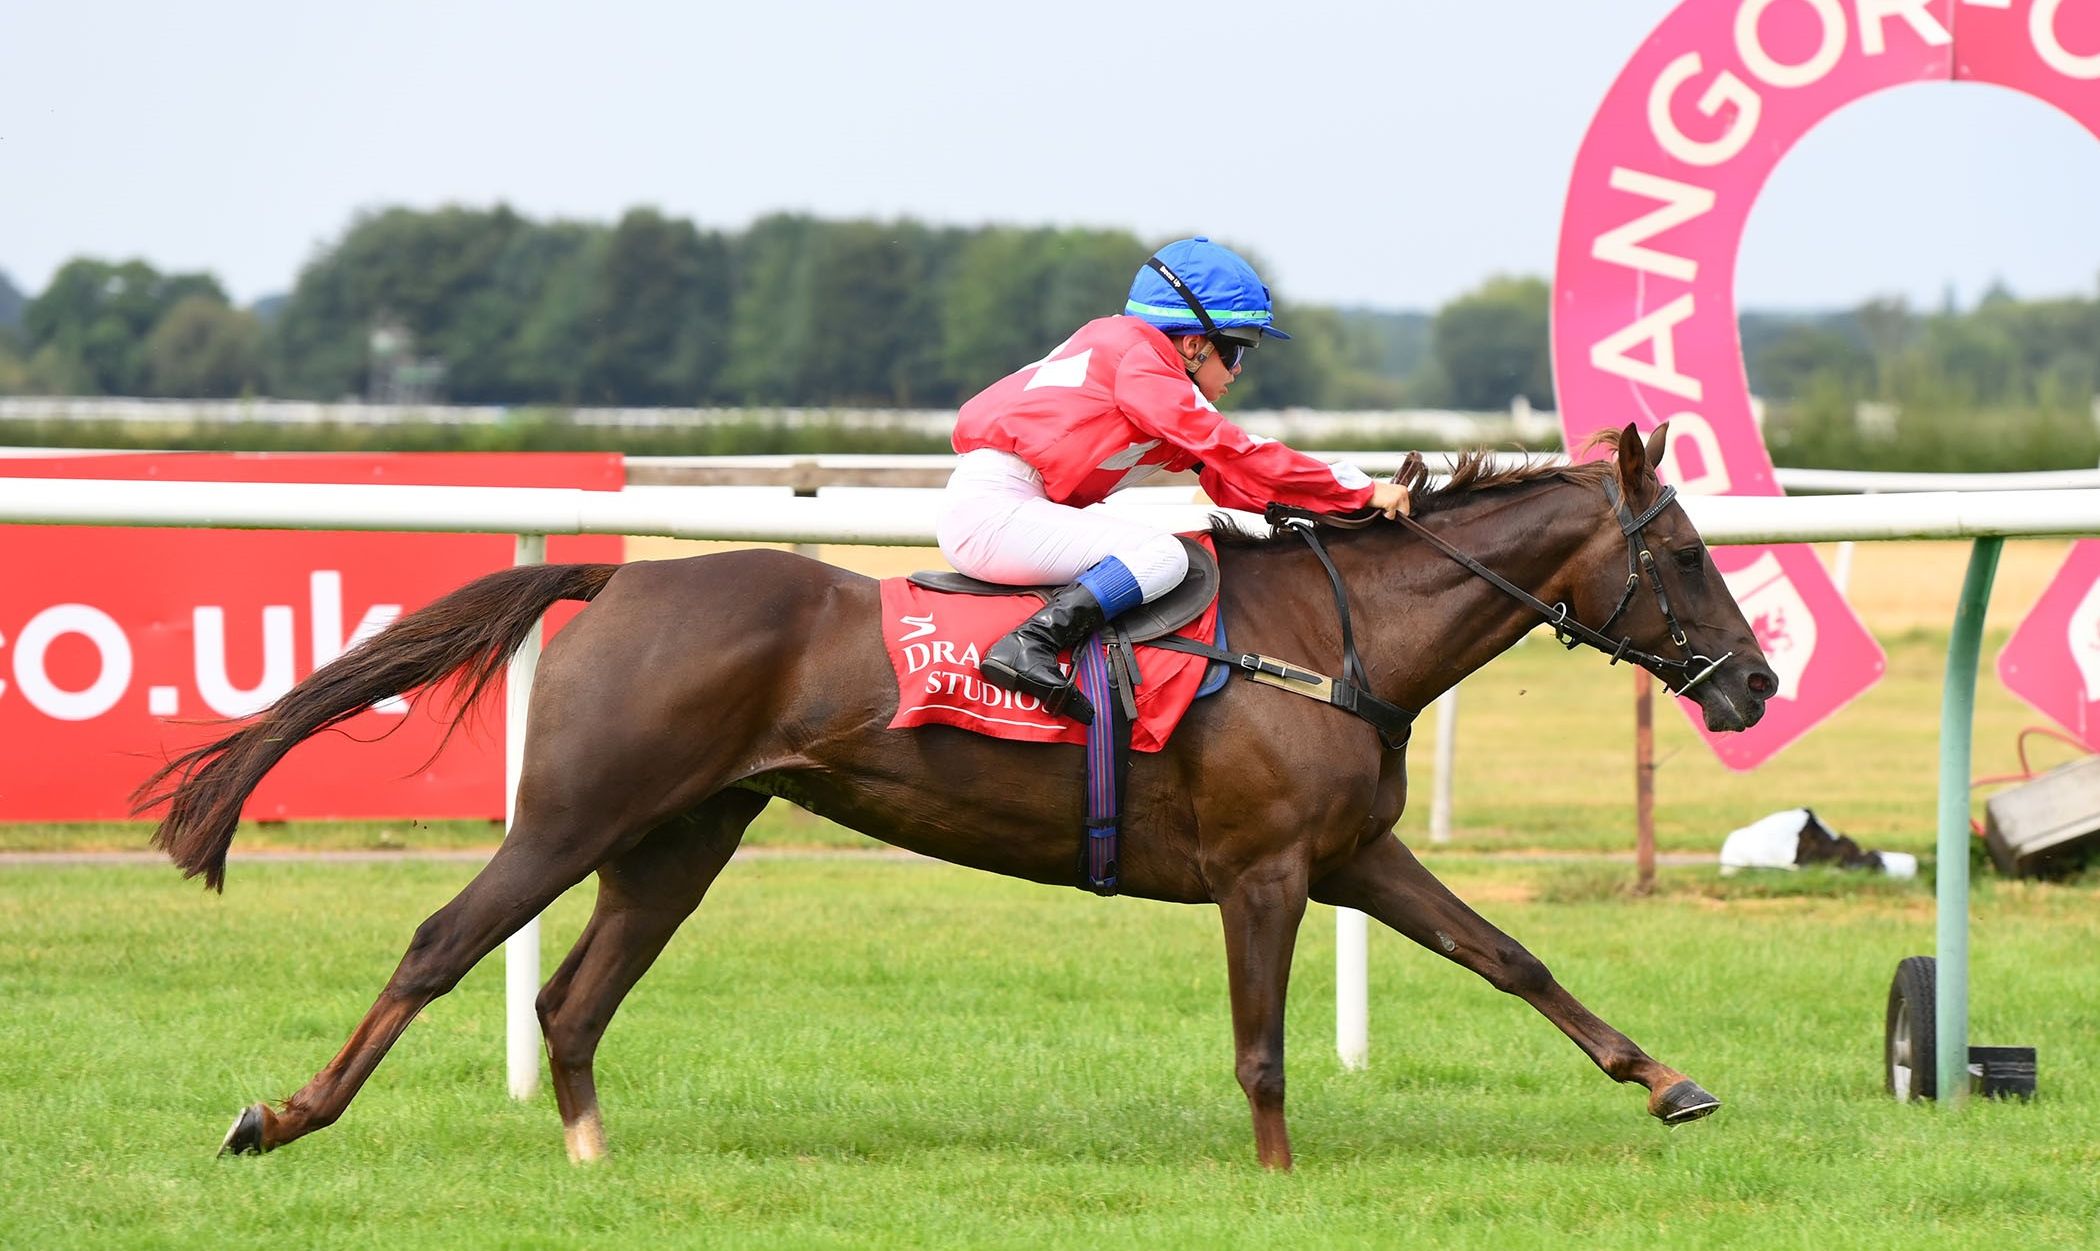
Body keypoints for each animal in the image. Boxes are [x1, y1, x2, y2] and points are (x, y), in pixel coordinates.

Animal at [139, 422, 1778, 1171]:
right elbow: (1260, 1046)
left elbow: (1513, 955)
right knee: (441, 946)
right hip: (573, 817)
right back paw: (281, 1114)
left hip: (678, 839)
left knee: (571, 998)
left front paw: (1668, 1079)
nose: (1756, 683)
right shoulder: (1260, 868)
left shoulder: (1353, 854)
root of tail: (622, 576)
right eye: (1687, 549)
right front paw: (1277, 1178)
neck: (1329, 637)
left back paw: (592, 1158)